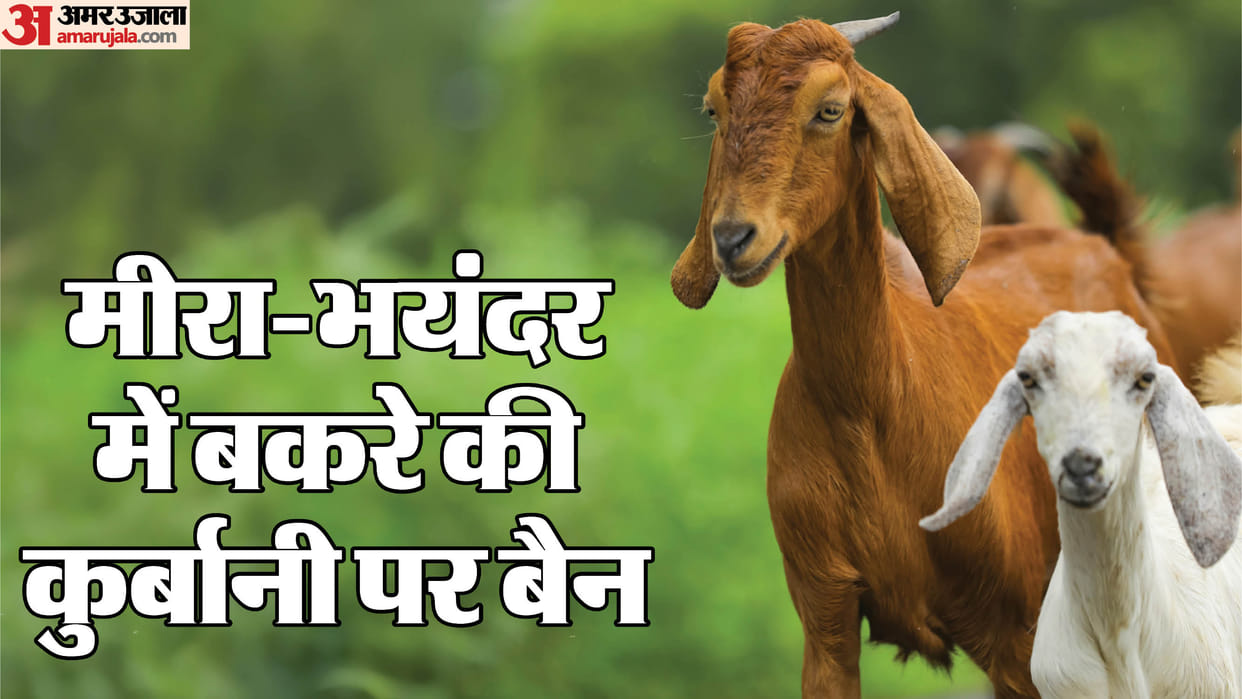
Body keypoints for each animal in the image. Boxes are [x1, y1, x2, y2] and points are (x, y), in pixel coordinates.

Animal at [670, 13, 1176, 698]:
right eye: (715, 109)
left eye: (830, 109)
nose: (731, 238)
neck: (871, 409)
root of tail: (1107, 250)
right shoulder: (825, 618)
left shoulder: (1017, 633)